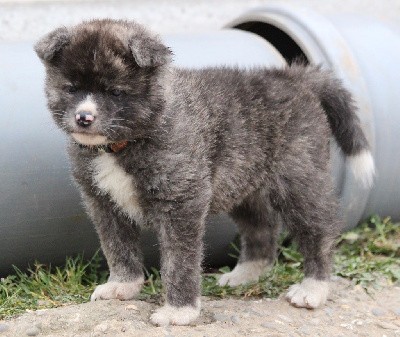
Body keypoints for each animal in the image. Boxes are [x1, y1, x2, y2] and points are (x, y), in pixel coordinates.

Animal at [35, 19, 376, 326]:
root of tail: (295, 76)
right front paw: (123, 285)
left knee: (319, 230)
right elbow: (117, 247)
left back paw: (314, 287)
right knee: (262, 226)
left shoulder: (181, 202)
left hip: (299, 177)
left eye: (115, 93)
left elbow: (179, 261)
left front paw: (179, 311)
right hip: (243, 180)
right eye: (71, 89)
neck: (121, 146)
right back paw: (247, 273)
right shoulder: (103, 203)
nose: (84, 118)